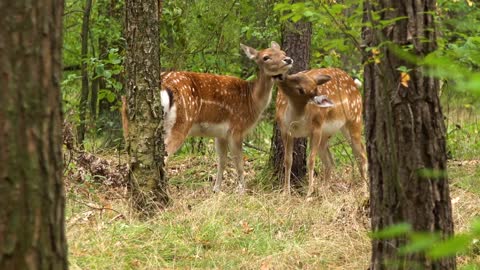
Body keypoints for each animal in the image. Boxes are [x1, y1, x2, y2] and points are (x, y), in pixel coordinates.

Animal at [160, 41, 292, 194]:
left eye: (283, 52)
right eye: (266, 57)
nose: (288, 59)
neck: (252, 101)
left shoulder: (220, 134)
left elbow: (222, 160)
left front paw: (216, 189)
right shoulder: (237, 128)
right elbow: (238, 162)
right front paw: (242, 190)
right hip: (182, 122)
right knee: (165, 157)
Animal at [274, 68, 368, 196]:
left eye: (301, 90)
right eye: (296, 75)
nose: (281, 77)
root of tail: (355, 84)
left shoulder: (316, 128)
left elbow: (311, 161)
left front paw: (309, 194)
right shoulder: (285, 131)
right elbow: (288, 160)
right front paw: (285, 193)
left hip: (355, 118)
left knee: (362, 154)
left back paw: (364, 191)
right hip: (326, 134)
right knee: (330, 161)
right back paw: (324, 191)